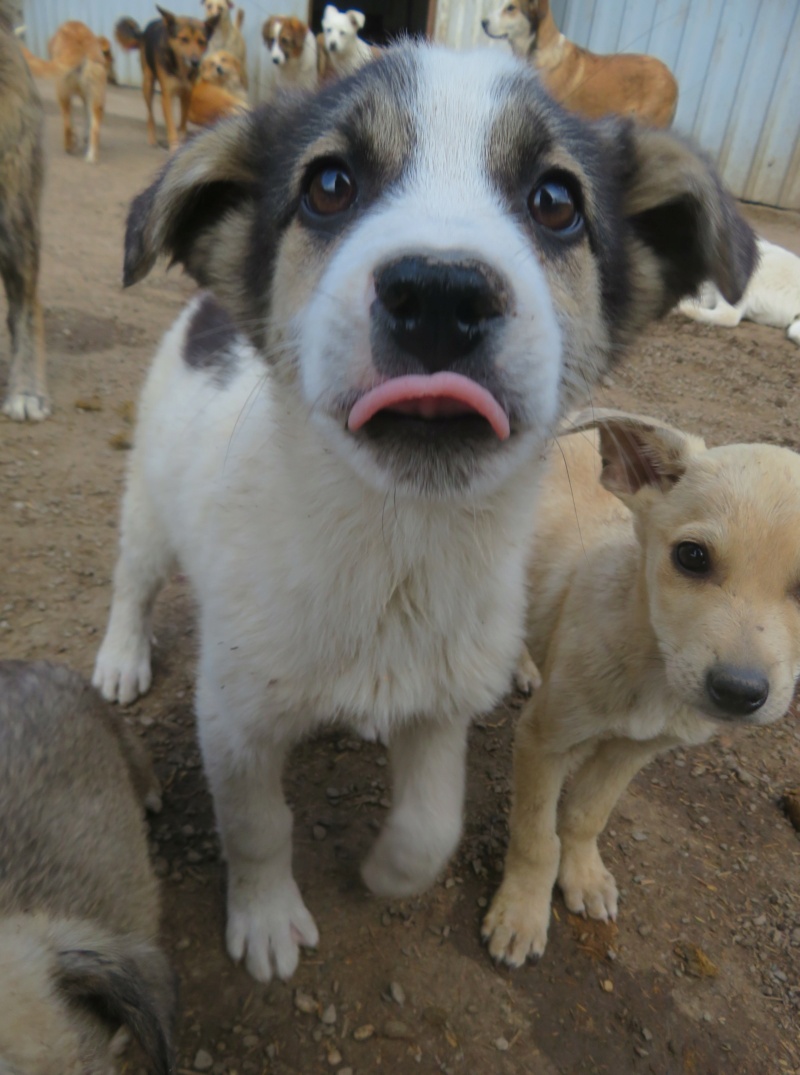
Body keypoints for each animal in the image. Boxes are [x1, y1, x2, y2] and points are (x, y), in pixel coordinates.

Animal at [95, 41, 756, 984]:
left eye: (556, 201)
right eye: (329, 184)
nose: (441, 293)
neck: (399, 546)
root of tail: (207, 306)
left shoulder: (442, 706)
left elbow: (431, 827)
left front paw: (382, 872)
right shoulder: (232, 716)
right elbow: (258, 826)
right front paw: (266, 917)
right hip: (151, 497)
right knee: (134, 576)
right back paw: (119, 655)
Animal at [115, 4, 216, 149]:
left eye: (201, 41)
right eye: (184, 39)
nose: (195, 62)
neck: (181, 69)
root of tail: (145, 30)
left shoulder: (187, 94)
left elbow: (183, 119)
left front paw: (183, 136)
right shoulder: (167, 96)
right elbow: (170, 123)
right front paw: (174, 145)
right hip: (148, 83)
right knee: (150, 114)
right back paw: (152, 138)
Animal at [481, 410, 800, 967]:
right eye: (692, 556)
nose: (738, 692)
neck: (653, 674)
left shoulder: (634, 751)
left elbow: (587, 814)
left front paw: (584, 875)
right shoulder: (543, 739)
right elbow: (536, 837)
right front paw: (521, 913)